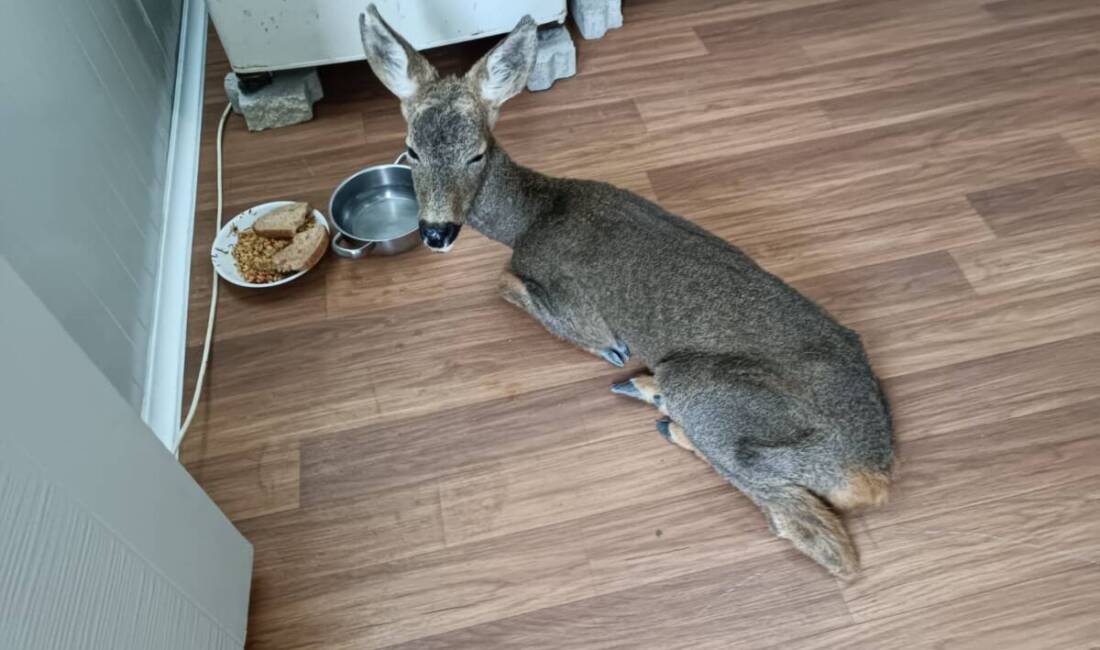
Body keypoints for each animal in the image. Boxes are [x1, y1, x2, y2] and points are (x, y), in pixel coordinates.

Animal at [360, 6, 893, 580]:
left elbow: (504, 283)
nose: (436, 232)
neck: (531, 217)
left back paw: (658, 407)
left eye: (476, 155)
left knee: (817, 536)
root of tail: (873, 473)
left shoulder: (573, 304)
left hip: (710, 394)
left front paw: (611, 354)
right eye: (411, 150)